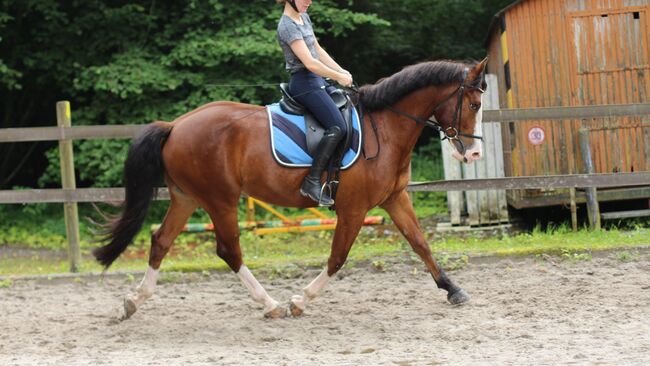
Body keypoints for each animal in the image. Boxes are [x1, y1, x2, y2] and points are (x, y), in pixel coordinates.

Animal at [92, 58, 486, 320]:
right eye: (474, 104)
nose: (474, 153)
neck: (385, 127)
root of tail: (175, 125)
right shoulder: (353, 209)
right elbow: (338, 258)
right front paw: (300, 301)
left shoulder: (394, 198)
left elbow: (420, 243)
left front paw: (453, 290)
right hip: (220, 199)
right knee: (229, 250)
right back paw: (270, 305)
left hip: (187, 198)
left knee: (161, 241)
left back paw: (133, 301)